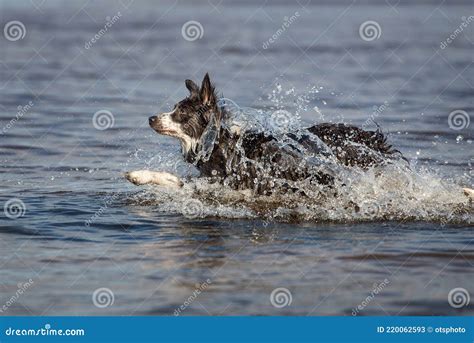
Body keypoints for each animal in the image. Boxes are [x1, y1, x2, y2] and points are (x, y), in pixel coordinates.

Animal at [126, 74, 474, 200]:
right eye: (173, 108)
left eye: (180, 112)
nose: (151, 117)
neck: (219, 142)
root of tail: (375, 139)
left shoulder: (229, 182)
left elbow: (173, 179)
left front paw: (139, 175)